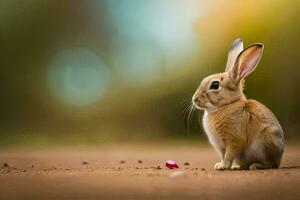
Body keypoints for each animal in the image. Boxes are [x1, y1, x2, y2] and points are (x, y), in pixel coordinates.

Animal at [192, 38, 284, 170]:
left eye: (215, 85)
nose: (194, 99)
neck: (226, 105)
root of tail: (279, 158)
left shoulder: (234, 142)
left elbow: (229, 155)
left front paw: (223, 167)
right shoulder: (221, 147)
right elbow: (223, 155)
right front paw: (219, 165)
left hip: (267, 140)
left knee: (271, 164)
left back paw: (255, 166)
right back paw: (238, 167)